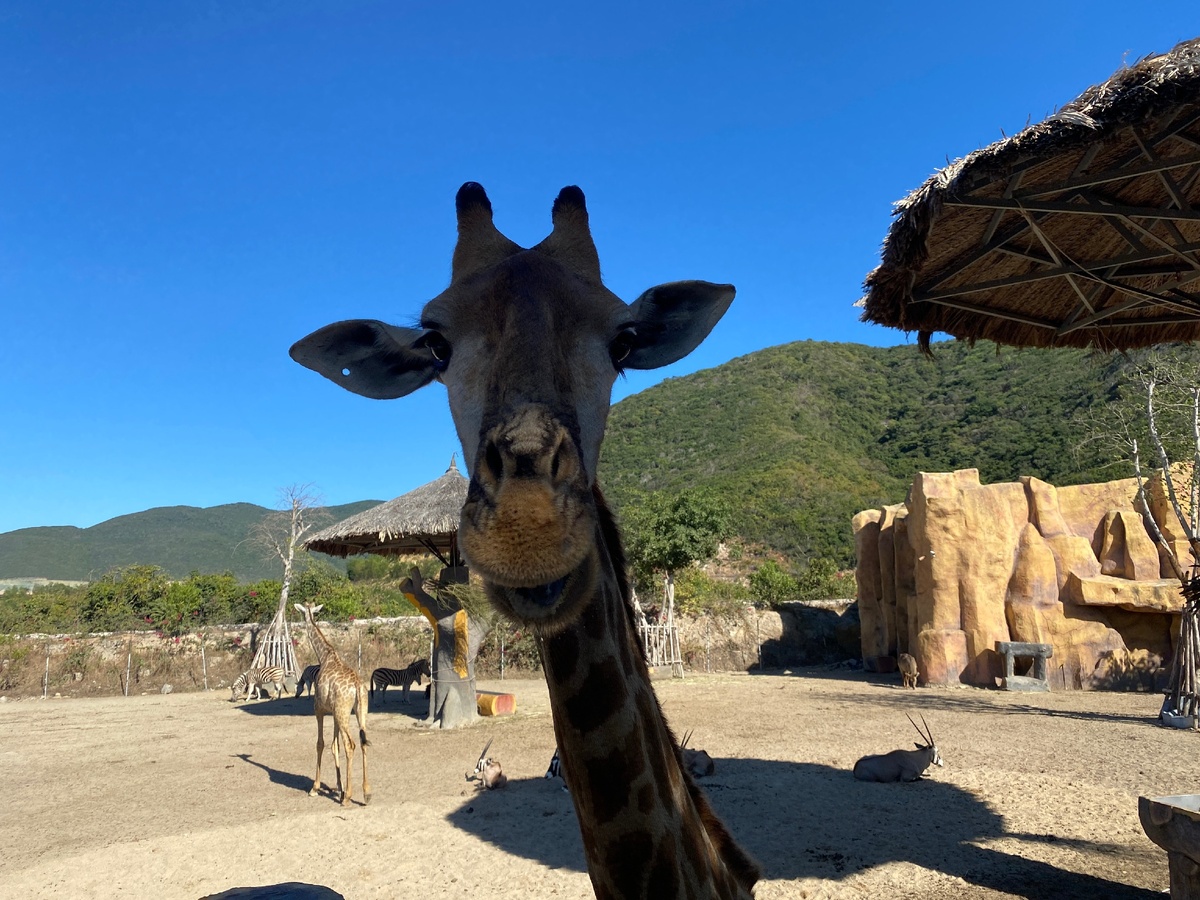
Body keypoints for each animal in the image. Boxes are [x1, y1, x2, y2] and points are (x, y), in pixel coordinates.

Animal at [293, 602, 370, 807]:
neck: (324, 655)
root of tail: (357, 686)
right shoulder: (334, 713)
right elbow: (334, 747)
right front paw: (339, 787)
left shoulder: (319, 709)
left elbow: (321, 743)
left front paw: (316, 788)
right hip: (360, 711)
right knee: (363, 742)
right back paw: (366, 793)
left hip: (344, 713)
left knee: (350, 744)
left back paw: (349, 797)